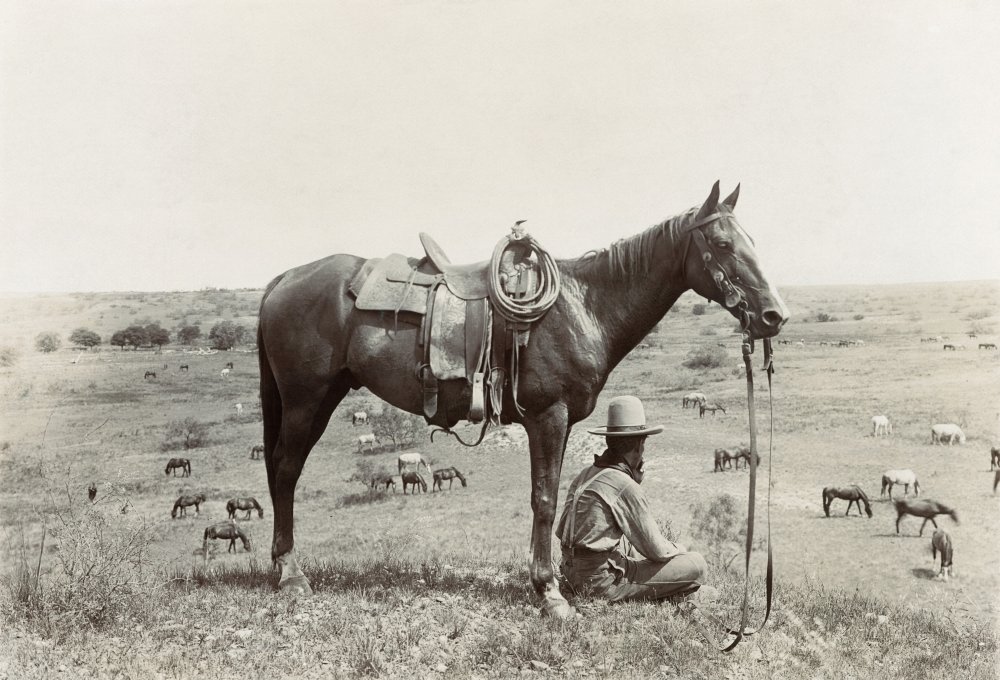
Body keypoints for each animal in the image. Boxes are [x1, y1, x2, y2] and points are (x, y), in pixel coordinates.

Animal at [256, 181, 788, 616]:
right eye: (723, 244)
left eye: (753, 242)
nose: (773, 315)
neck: (583, 306)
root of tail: (284, 279)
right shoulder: (548, 417)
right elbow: (545, 500)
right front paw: (549, 592)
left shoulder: (563, 420)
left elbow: (552, 495)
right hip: (306, 401)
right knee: (285, 470)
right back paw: (291, 574)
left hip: (322, 398)